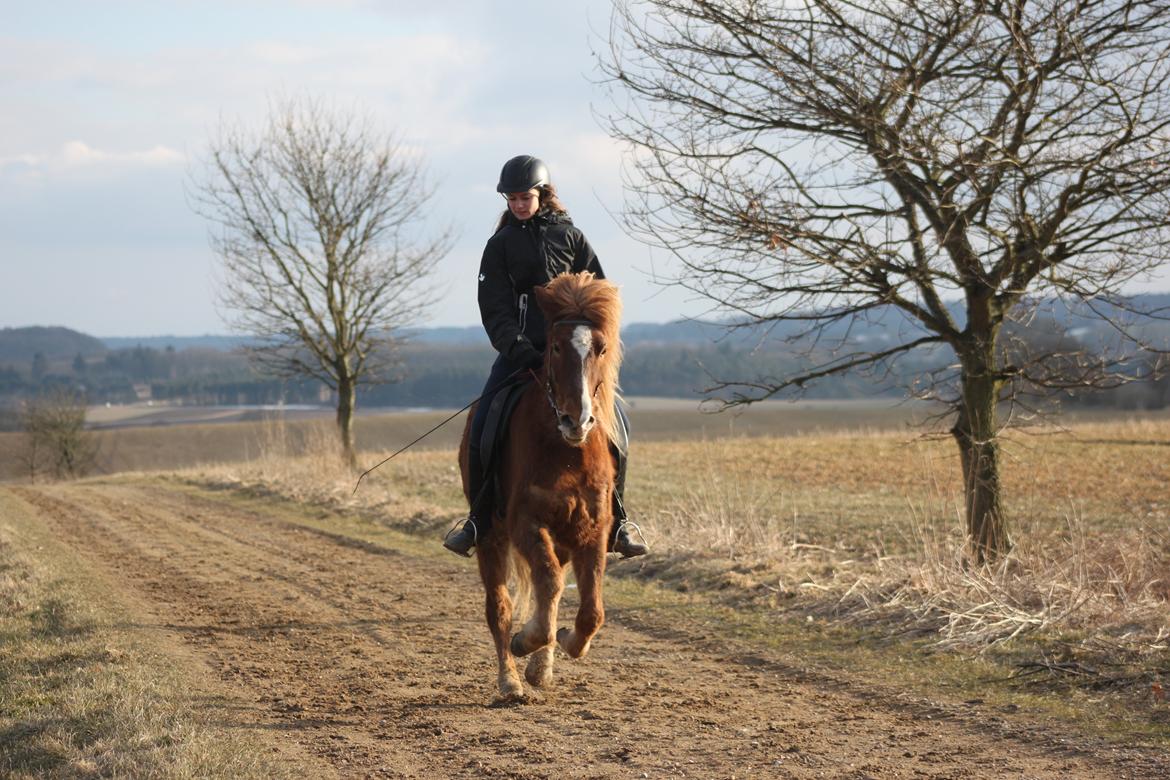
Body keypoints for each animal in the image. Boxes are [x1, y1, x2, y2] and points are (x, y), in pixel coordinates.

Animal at [456, 270, 622, 701]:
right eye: (557, 346)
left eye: (600, 348)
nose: (576, 420)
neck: (566, 453)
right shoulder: (526, 524)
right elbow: (546, 583)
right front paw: (526, 641)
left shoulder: (592, 530)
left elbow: (591, 610)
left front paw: (561, 643)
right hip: (491, 537)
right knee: (500, 607)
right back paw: (511, 681)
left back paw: (538, 668)